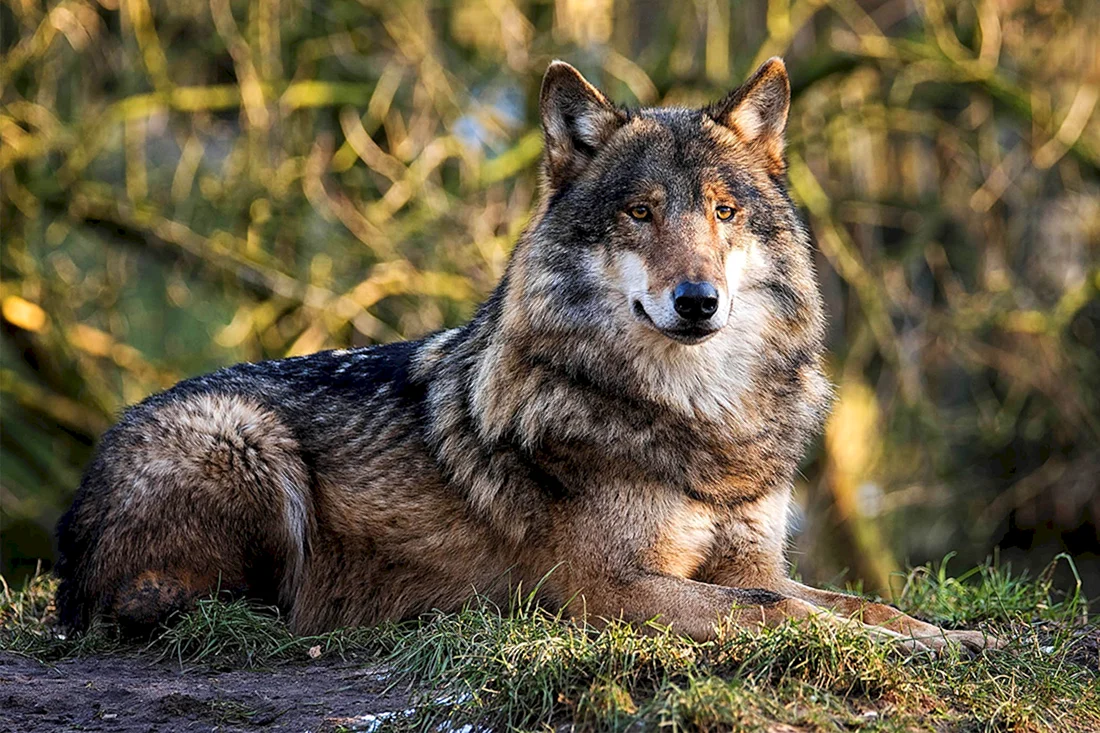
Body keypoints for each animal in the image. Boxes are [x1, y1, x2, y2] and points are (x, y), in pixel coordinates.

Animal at [56, 58, 997, 653]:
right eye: (641, 213)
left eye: (724, 211)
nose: (698, 301)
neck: (700, 420)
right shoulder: (608, 589)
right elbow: (776, 609)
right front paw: (898, 648)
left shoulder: (752, 557)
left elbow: (849, 597)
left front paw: (954, 635)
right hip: (245, 437)